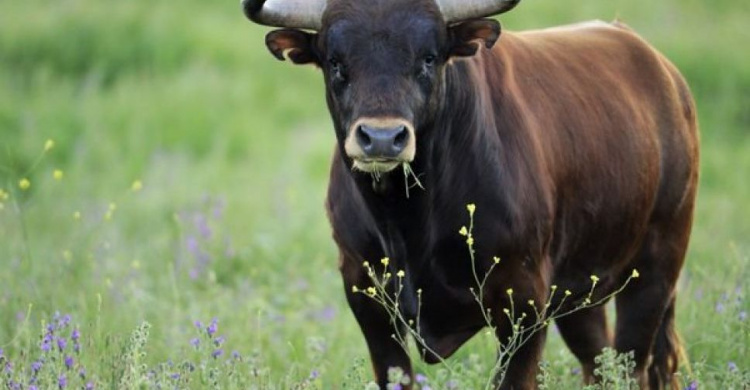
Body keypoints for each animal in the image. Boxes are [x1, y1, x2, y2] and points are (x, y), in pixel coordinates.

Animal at [244, 1, 704, 388]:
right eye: (336, 62)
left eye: (428, 58)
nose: (382, 138)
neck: (407, 221)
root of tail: (665, 73)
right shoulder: (365, 294)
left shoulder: (524, 302)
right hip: (582, 293)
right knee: (599, 364)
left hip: (655, 269)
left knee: (634, 365)